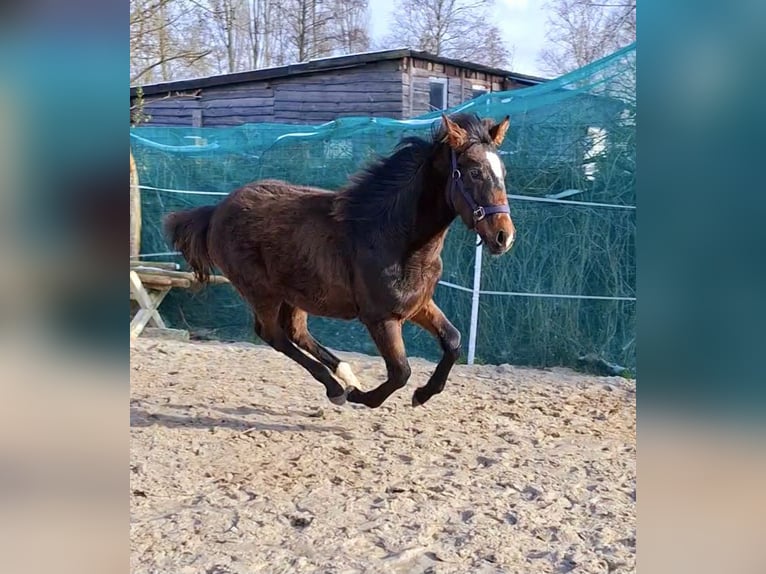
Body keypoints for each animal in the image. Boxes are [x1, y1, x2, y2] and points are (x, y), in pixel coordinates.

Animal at [165, 112, 520, 410]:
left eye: (503, 172)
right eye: (474, 172)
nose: (504, 237)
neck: (394, 237)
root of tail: (216, 211)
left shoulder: (418, 305)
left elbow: (454, 341)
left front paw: (422, 395)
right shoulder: (380, 318)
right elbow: (400, 372)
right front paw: (364, 398)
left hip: (295, 294)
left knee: (295, 333)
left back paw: (345, 375)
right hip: (261, 292)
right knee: (273, 335)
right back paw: (337, 388)